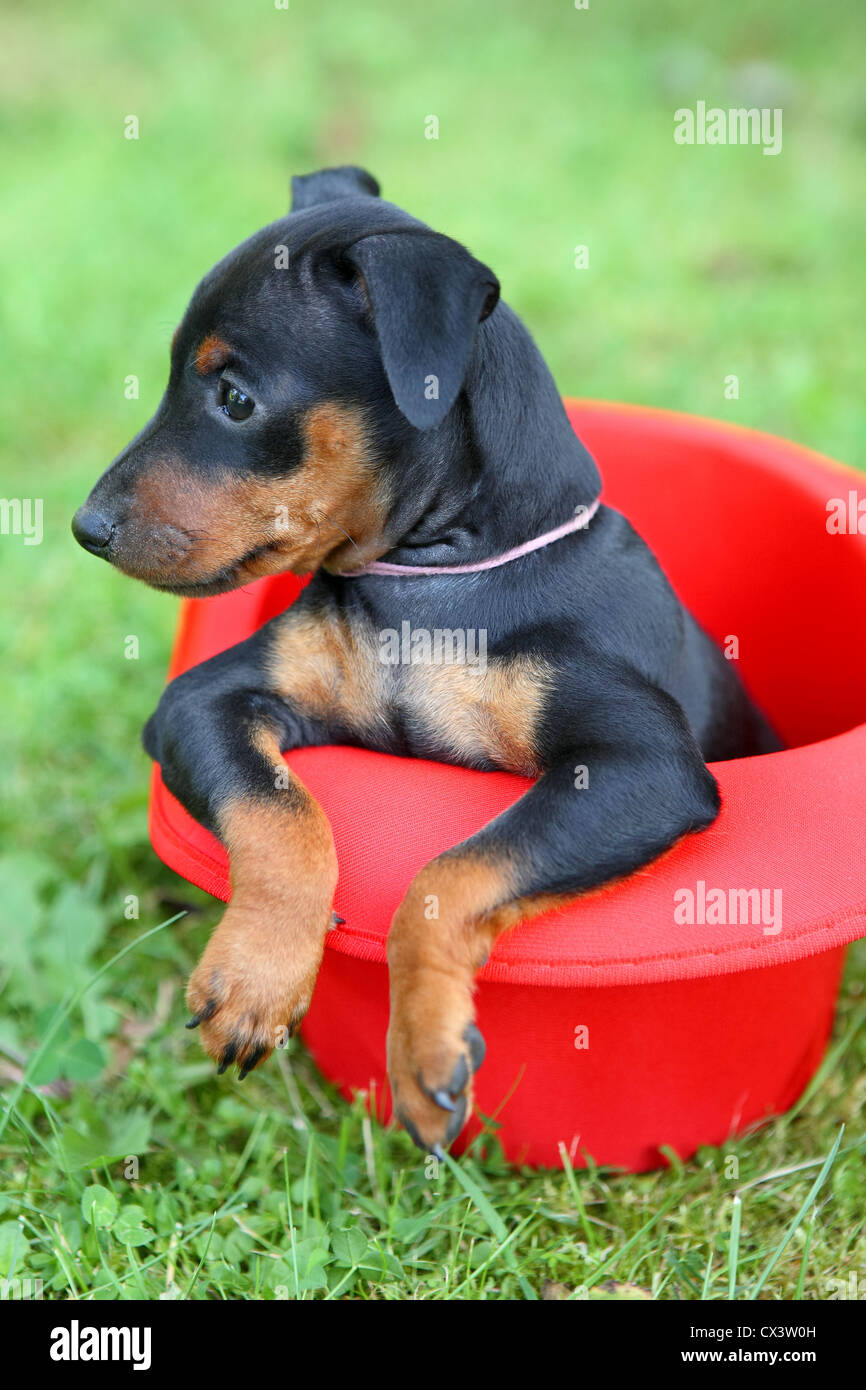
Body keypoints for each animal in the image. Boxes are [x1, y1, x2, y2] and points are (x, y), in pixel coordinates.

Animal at [72, 165, 778, 1150]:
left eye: (237, 399)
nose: (85, 528)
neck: (430, 585)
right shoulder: (200, 702)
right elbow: (278, 812)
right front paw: (256, 978)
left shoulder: (642, 767)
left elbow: (454, 868)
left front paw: (423, 1047)